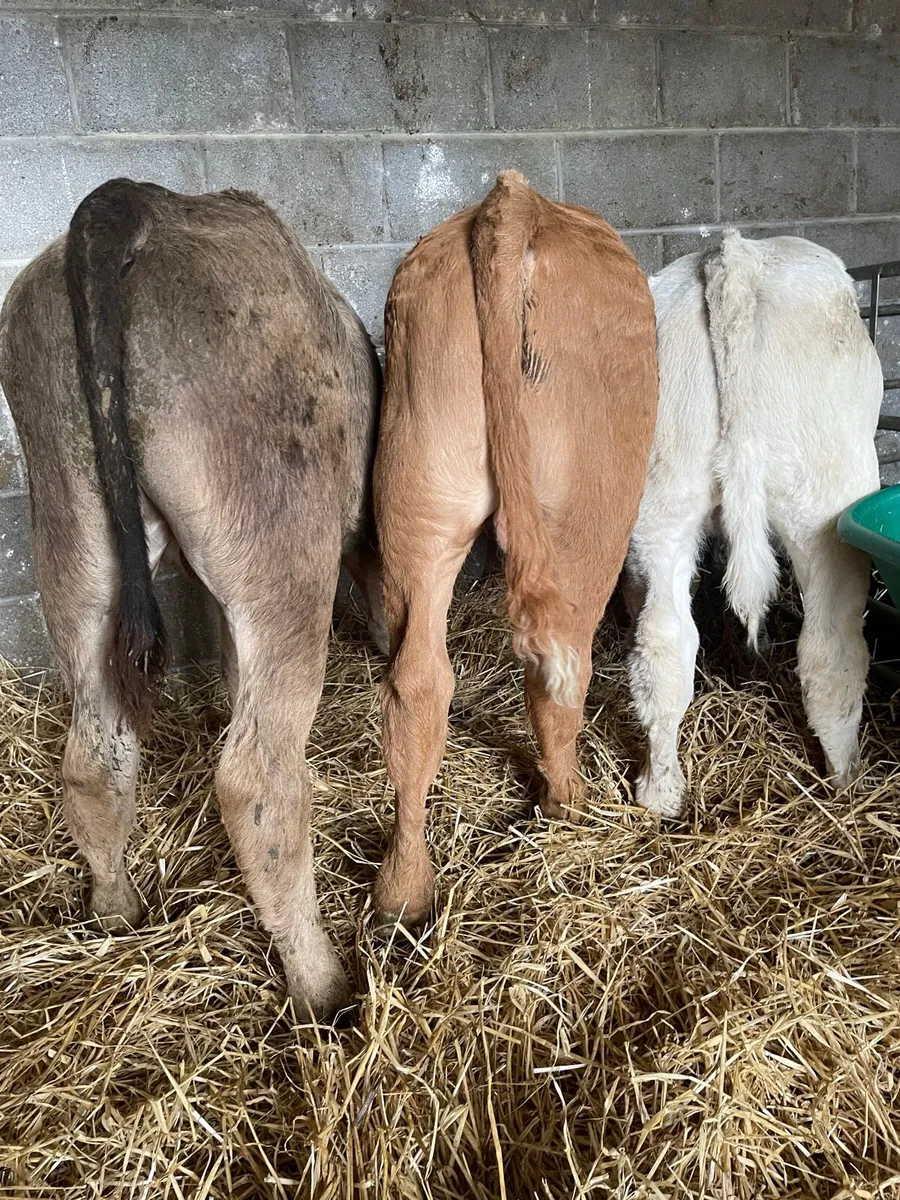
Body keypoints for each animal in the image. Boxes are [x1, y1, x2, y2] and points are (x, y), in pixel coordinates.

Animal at [0, 179, 384, 1023]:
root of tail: (139, 202)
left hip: (72, 529)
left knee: (96, 753)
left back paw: (116, 911)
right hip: (281, 545)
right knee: (257, 781)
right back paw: (323, 986)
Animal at [372, 170, 659, 931]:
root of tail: (512, 199)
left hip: (416, 490)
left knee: (417, 683)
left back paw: (403, 891)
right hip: (585, 514)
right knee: (561, 668)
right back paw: (569, 805)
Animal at [625, 231, 883, 819]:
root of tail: (733, 255)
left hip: (664, 498)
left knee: (665, 646)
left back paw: (660, 793)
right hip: (826, 504)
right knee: (832, 653)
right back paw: (846, 782)